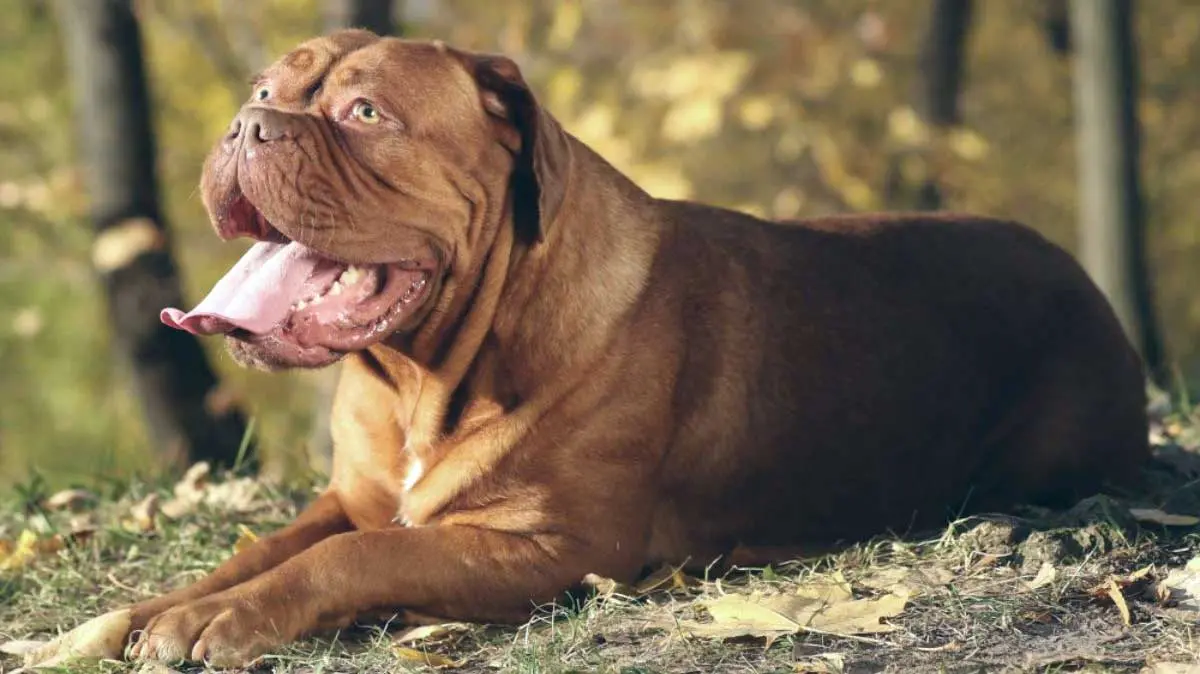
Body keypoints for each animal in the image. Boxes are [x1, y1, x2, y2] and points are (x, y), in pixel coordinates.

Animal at [126, 30, 1147, 662]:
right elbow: (260, 549)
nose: (246, 123)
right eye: (266, 91)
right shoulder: (351, 498)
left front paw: (226, 619)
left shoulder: (550, 547)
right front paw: (142, 616)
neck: (425, 374)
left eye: (365, 114)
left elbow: (354, 559)